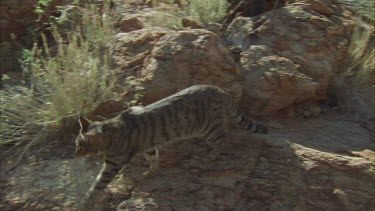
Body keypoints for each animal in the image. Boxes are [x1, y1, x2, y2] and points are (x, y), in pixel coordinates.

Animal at [75, 84, 268, 209]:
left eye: (81, 145)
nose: (75, 153)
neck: (110, 131)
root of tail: (218, 89)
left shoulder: (113, 164)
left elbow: (97, 184)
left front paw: (85, 202)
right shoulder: (148, 146)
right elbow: (154, 159)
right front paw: (151, 173)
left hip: (207, 128)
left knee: (224, 139)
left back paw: (211, 156)